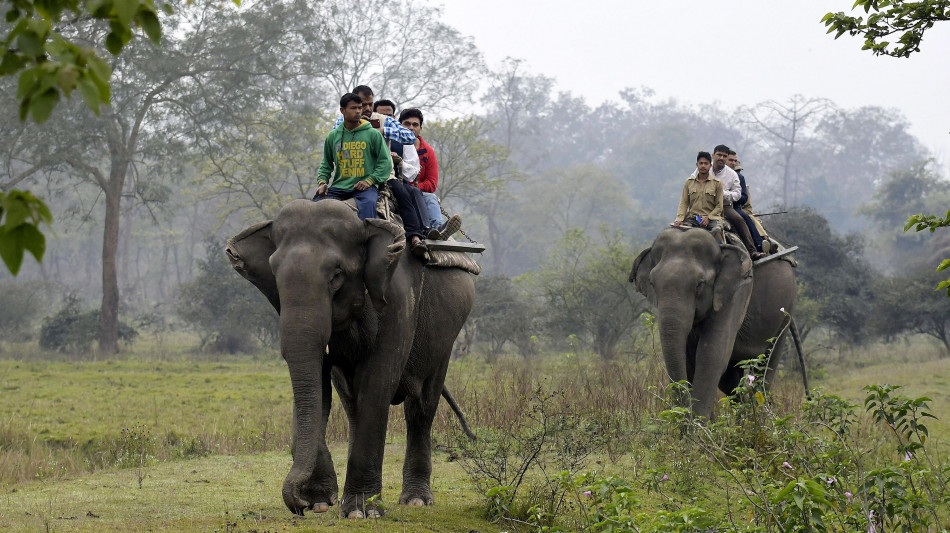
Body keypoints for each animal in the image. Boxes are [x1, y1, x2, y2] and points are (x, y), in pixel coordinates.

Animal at [224, 198, 476, 516]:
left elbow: (379, 382)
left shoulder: (398, 297)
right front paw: (321, 503)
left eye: (337, 276)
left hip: (447, 334)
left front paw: (361, 512)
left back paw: (416, 500)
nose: (299, 505)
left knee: (421, 406)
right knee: (352, 403)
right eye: (275, 274)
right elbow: (319, 389)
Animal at [628, 227, 808, 418]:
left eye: (700, 284)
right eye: (652, 284)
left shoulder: (736, 292)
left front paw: (697, 423)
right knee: (730, 380)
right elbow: (689, 359)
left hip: (785, 310)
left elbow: (712, 354)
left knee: (765, 367)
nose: (683, 412)